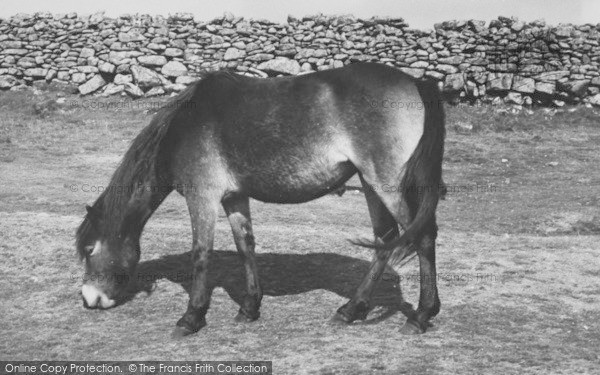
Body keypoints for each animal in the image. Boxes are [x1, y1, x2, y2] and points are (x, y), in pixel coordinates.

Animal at [76, 62, 446, 338]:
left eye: (90, 249)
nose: (89, 298)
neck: (186, 126)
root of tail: (415, 82)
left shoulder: (202, 197)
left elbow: (201, 254)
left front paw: (191, 318)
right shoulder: (234, 197)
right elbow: (245, 246)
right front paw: (250, 307)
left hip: (387, 184)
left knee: (422, 236)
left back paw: (420, 316)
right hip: (371, 184)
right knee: (385, 239)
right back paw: (351, 310)